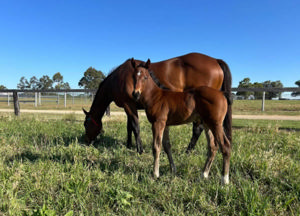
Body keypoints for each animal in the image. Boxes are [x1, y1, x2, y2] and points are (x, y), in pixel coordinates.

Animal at [82, 52, 232, 154]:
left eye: (86, 124)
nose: (86, 141)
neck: (119, 78)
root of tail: (215, 60)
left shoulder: (128, 105)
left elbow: (135, 126)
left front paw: (140, 149)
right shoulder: (128, 106)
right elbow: (129, 127)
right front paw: (129, 145)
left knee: (197, 129)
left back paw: (188, 151)